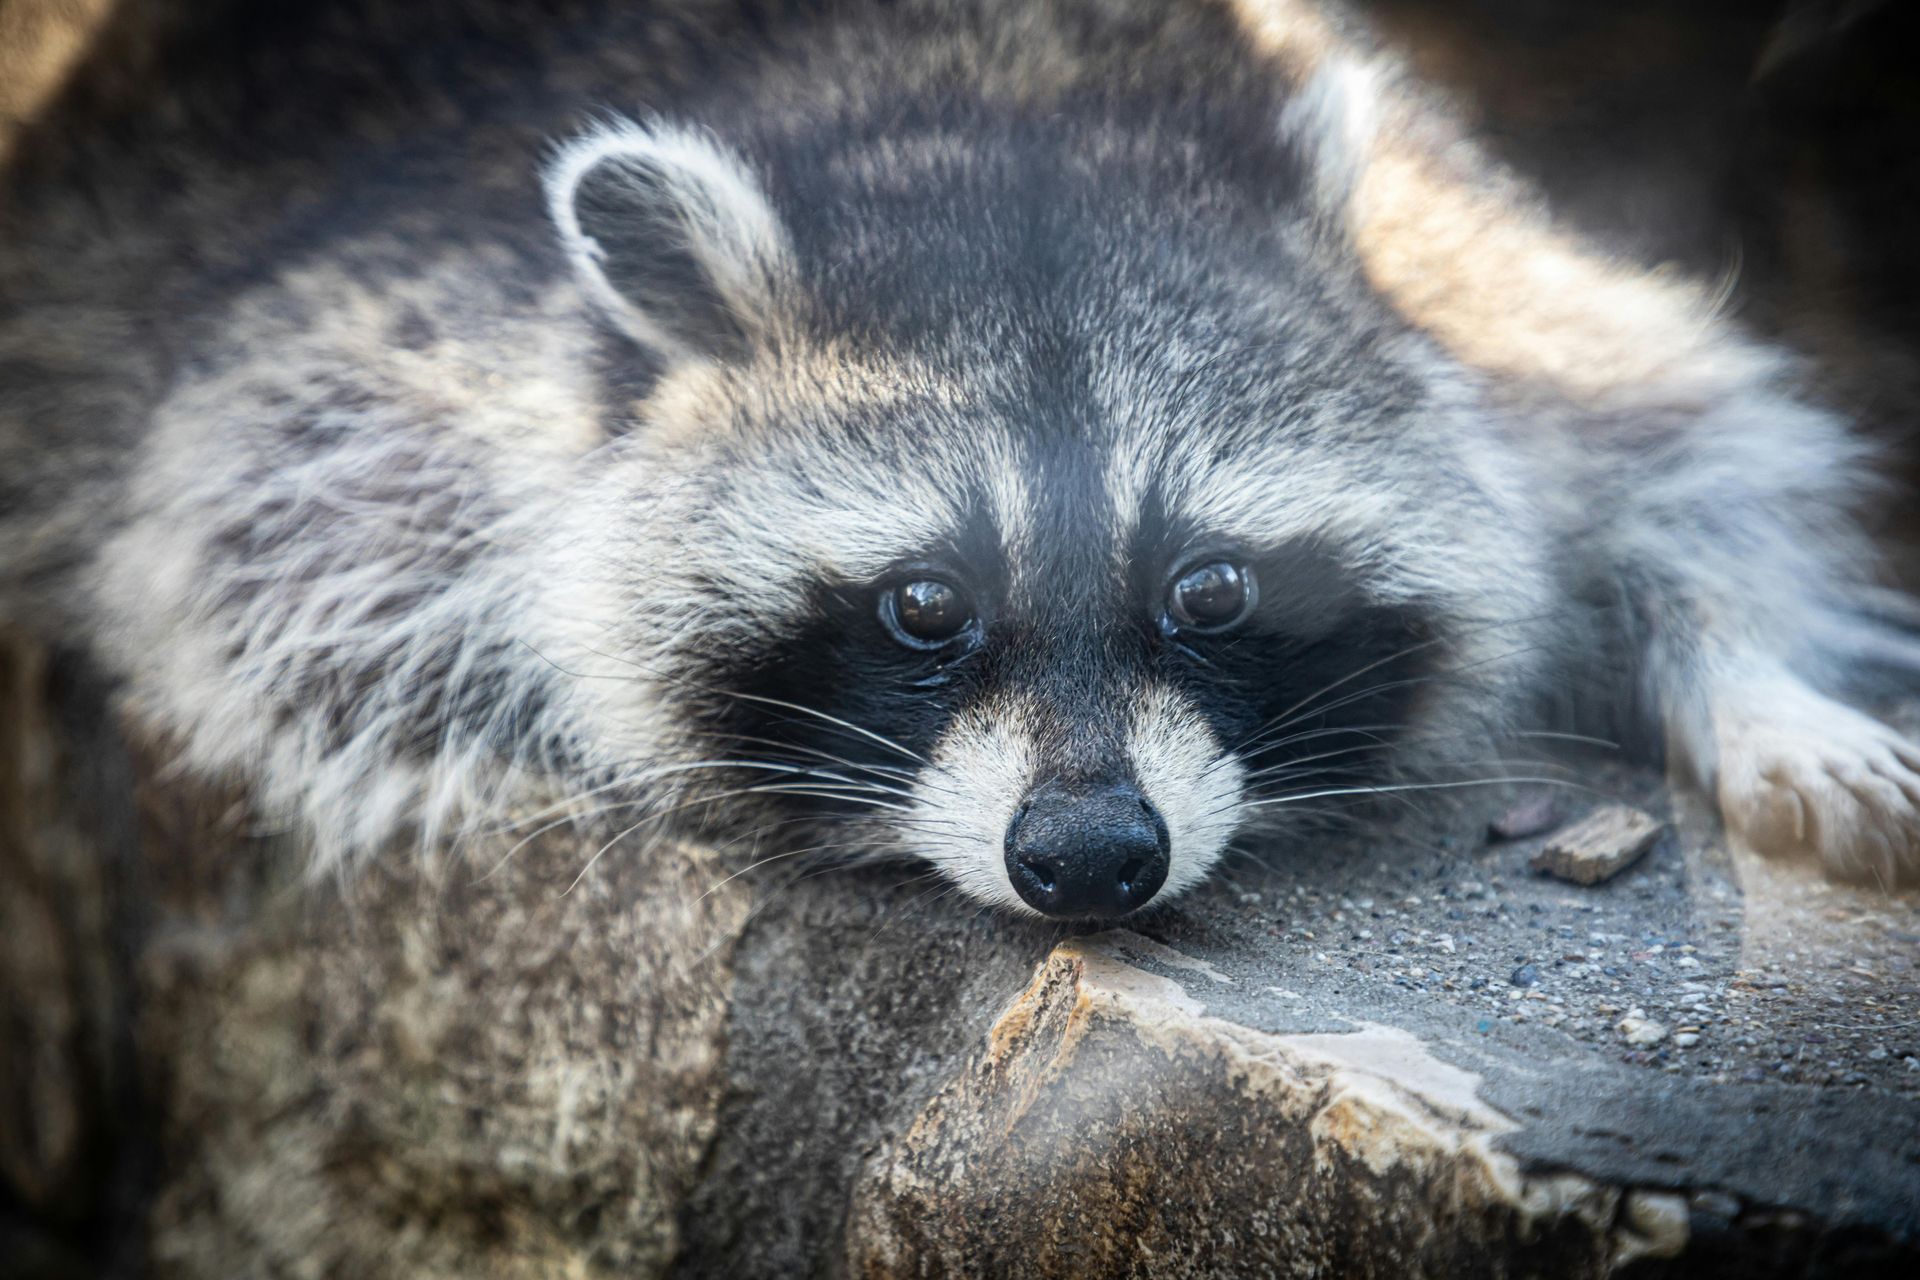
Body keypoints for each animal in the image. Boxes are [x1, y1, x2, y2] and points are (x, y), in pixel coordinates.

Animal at [3, 0, 1918, 918]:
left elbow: (1679, 435)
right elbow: (269, 540)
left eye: (1210, 588)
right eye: (924, 604)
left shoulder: (1466, 278)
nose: (1088, 861)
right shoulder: (384, 359)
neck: (994, 123)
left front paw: (1751, 673)